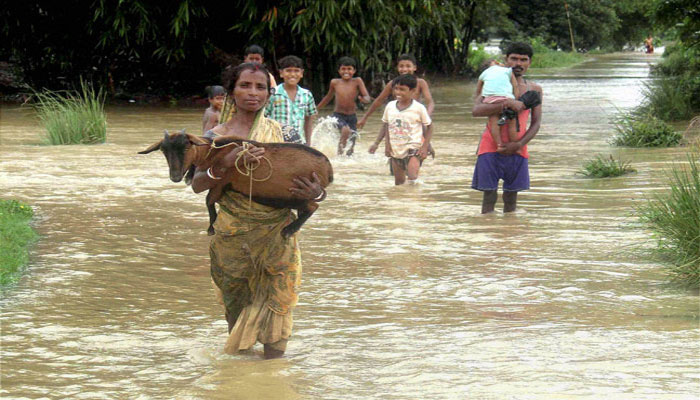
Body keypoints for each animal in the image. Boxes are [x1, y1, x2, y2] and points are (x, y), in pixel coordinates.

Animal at [139, 130, 334, 238]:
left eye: (187, 147)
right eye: (163, 150)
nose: (175, 176)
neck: (213, 152)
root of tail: (328, 168)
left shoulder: (222, 182)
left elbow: (209, 201)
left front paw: (211, 227)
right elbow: (209, 200)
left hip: (294, 193)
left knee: (313, 206)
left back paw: (288, 230)